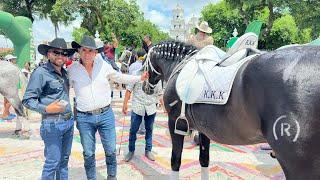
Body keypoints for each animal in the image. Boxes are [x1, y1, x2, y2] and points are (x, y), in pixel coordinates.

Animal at [144, 41, 320, 180]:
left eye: (144, 62)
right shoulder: (203, 129)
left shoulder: (175, 123)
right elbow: (204, 159)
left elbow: (175, 161)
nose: (146, 88)